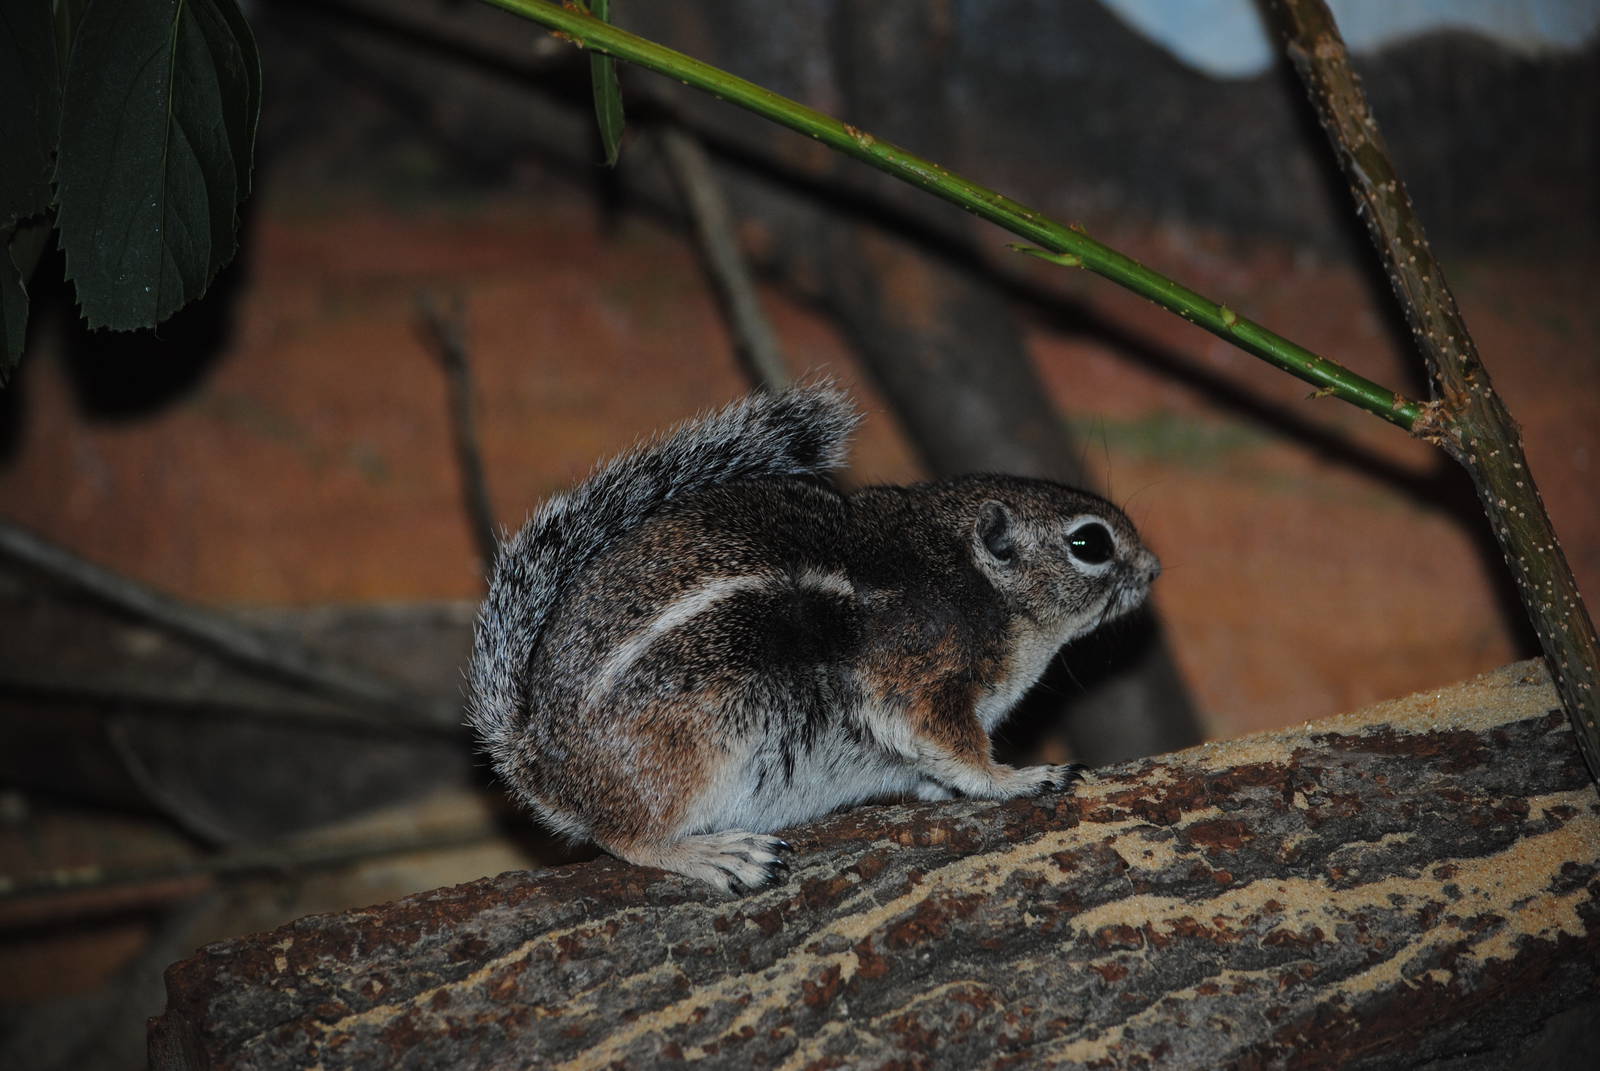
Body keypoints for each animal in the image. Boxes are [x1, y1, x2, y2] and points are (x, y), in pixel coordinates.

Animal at [467, 383, 1160, 894]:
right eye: (1089, 543)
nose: (1153, 568)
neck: (975, 580)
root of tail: (543, 761)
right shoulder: (919, 675)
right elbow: (951, 746)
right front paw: (1018, 779)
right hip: (697, 747)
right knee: (624, 838)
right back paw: (717, 854)